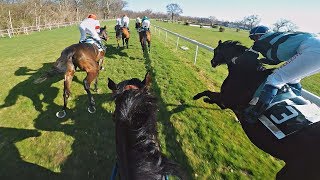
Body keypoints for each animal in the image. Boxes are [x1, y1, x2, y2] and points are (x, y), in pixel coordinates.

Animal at [194, 40, 320, 179]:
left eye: (216, 50)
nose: (212, 61)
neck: (246, 72)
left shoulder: (227, 99)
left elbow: (209, 93)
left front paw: (198, 97)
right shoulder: (228, 102)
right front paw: (206, 100)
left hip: (292, 171)